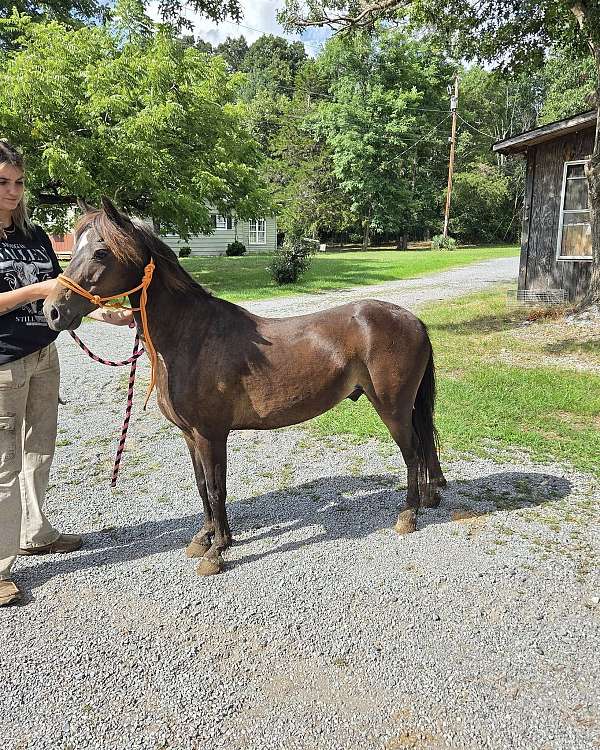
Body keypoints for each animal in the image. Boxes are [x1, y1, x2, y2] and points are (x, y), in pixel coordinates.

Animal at [44, 197, 446, 576]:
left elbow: (217, 488)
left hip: (392, 408)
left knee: (413, 453)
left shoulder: (211, 434)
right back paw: (429, 498)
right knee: (423, 448)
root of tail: (412, 320)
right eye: (74, 246)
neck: (191, 337)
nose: (52, 311)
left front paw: (218, 550)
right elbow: (202, 486)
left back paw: (408, 514)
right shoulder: (190, 435)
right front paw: (204, 538)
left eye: (100, 252)